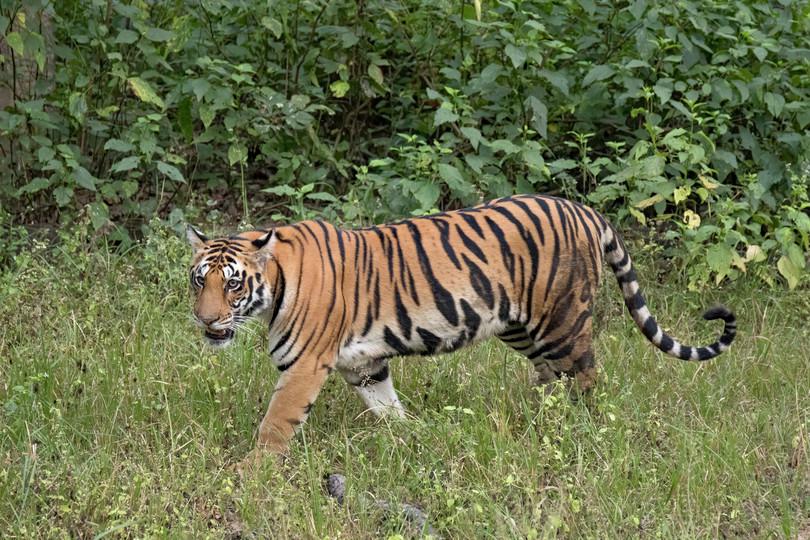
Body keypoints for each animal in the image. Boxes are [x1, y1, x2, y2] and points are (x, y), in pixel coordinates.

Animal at [186, 194, 736, 460]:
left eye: (233, 284)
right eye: (198, 280)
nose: (206, 319)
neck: (274, 287)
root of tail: (584, 210)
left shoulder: (303, 366)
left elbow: (276, 423)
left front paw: (253, 472)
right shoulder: (364, 364)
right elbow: (387, 406)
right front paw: (411, 436)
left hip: (562, 321)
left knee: (585, 378)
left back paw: (578, 429)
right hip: (520, 327)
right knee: (550, 377)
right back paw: (537, 419)